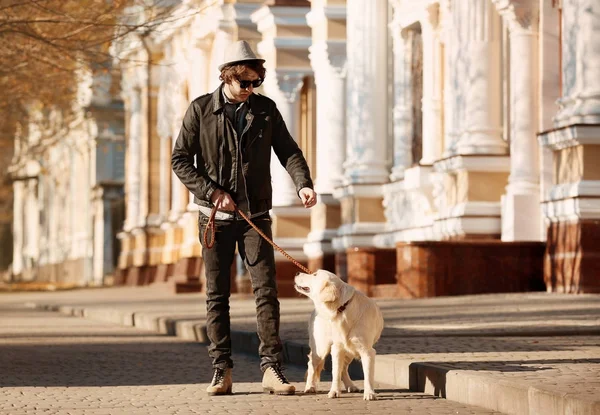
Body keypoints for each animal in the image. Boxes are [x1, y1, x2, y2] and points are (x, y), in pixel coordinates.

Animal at [294, 268, 384, 402]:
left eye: (315, 275)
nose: (297, 273)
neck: (343, 308)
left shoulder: (367, 351)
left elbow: (367, 375)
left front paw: (369, 393)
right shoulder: (337, 348)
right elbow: (335, 373)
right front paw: (334, 391)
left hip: (349, 351)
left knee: (344, 368)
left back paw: (351, 385)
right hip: (320, 348)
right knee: (312, 364)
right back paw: (310, 386)